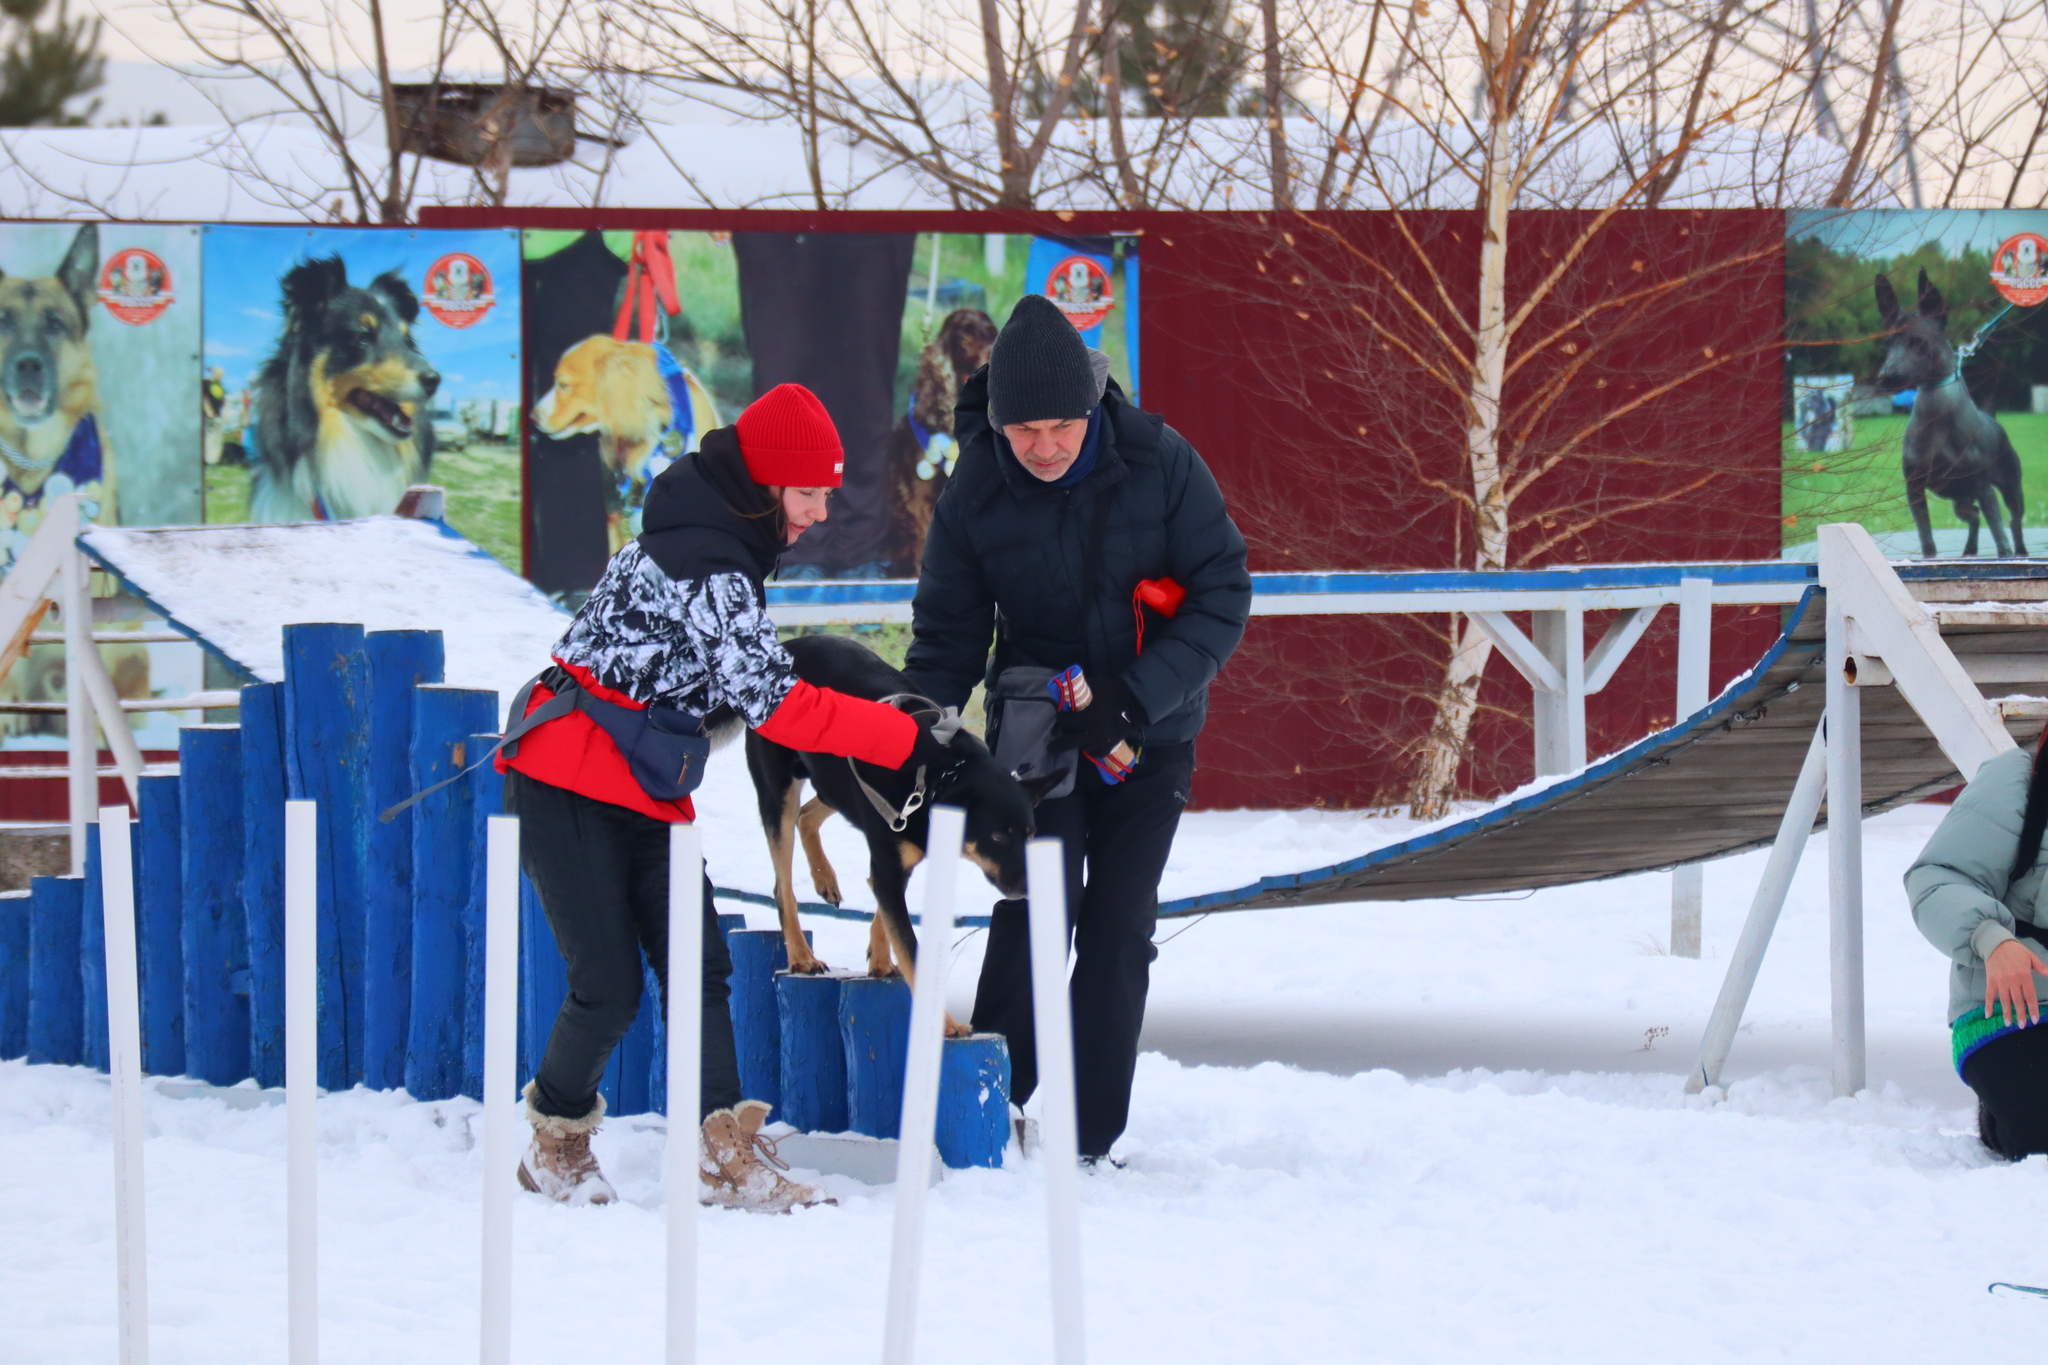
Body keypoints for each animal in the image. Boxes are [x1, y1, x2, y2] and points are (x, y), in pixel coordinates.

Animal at [745, 634, 1056, 1031]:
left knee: (806, 816)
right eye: (998, 837)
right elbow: (910, 945)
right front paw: (947, 1025)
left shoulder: (898, 851)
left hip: (834, 782)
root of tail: (790, 644)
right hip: (778, 791)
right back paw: (801, 954)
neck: (945, 772)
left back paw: (824, 876)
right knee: (782, 883)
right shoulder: (890, 861)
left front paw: (879, 956)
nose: (1028, 889)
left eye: (1030, 835)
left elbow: (884, 909)